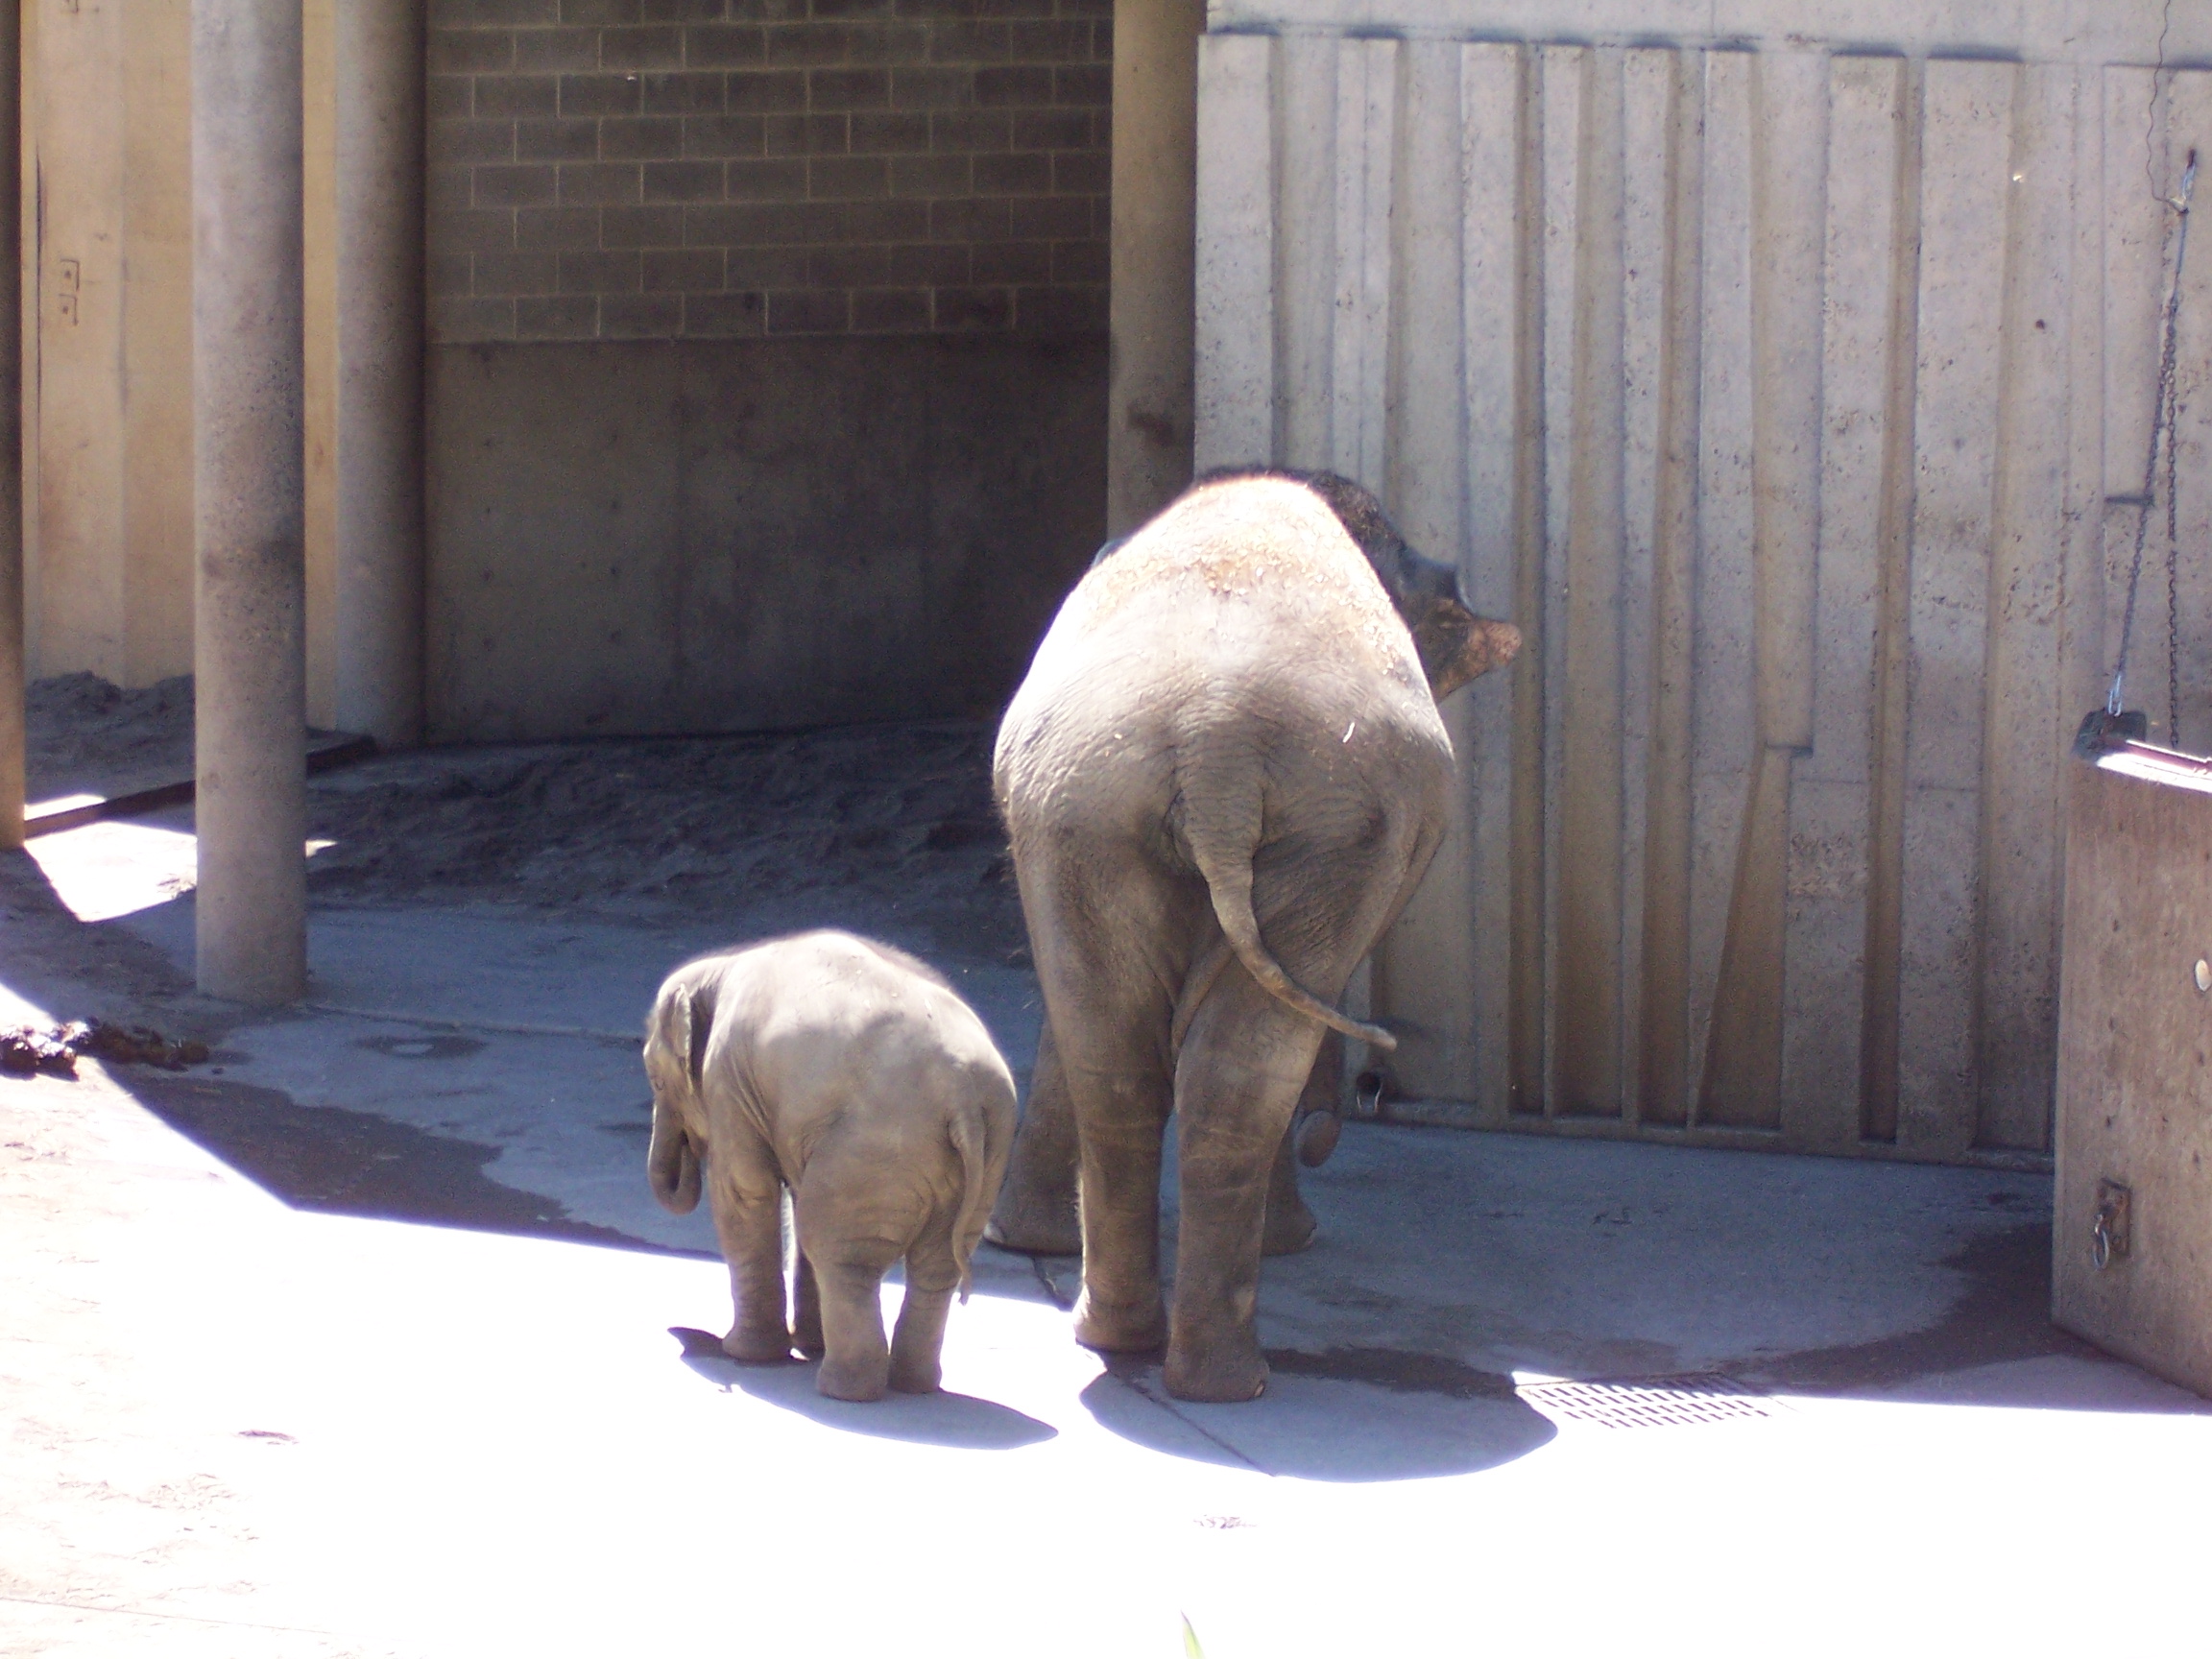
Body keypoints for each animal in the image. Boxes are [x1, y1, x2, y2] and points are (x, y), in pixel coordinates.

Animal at [644, 931, 1016, 1402]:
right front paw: (804, 1346)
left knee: (841, 1254)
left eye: (657, 1081)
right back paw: (912, 1385)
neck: (721, 966)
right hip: (983, 1156)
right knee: (935, 1266)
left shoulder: (728, 1078)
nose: (678, 1334)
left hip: (874, 1153)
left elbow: (745, 1191)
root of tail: (962, 1093)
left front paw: (745, 1353)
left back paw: (845, 1391)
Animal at [989, 469, 1519, 1402]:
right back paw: (1227, 1366)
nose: (1365, 1095)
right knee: (1240, 1061)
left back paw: (1135, 1344)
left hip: (1088, 808)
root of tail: (1217, 746)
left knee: (1121, 1055)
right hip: (1316, 825)